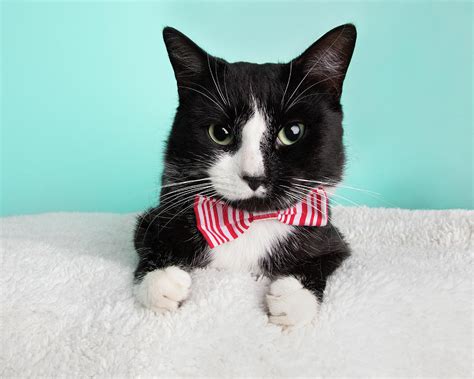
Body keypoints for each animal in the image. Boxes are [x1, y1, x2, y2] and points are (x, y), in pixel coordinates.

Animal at [132, 24, 356, 330]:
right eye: (219, 133)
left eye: (292, 132)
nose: (254, 176)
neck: (250, 222)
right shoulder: (156, 214)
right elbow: (146, 238)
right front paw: (163, 283)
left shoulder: (330, 235)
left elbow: (325, 257)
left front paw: (293, 298)